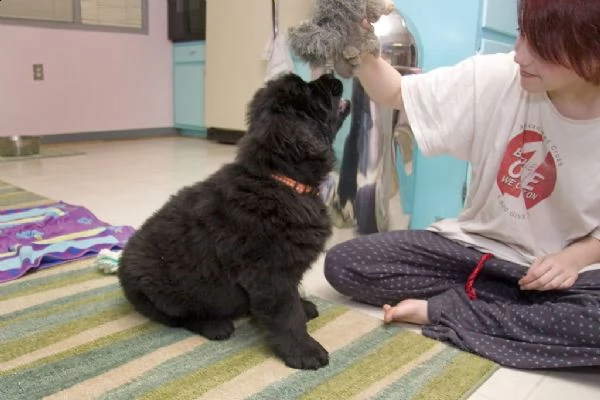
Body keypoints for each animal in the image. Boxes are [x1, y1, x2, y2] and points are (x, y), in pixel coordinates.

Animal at [117, 72, 352, 368]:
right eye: (309, 90)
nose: (332, 75)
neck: (280, 178)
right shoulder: (269, 274)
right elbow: (287, 315)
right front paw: (304, 351)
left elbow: (293, 299)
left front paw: (303, 307)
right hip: (157, 292)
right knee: (177, 316)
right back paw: (214, 325)